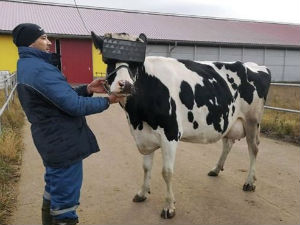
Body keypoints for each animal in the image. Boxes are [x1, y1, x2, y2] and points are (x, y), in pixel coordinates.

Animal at [91, 31, 272, 218]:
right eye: (108, 61)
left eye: (137, 64)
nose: (125, 84)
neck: (137, 117)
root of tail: (255, 66)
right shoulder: (144, 136)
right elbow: (146, 167)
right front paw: (142, 193)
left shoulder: (170, 133)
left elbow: (167, 172)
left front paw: (169, 206)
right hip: (229, 120)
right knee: (228, 144)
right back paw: (216, 169)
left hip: (252, 121)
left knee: (254, 148)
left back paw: (249, 182)